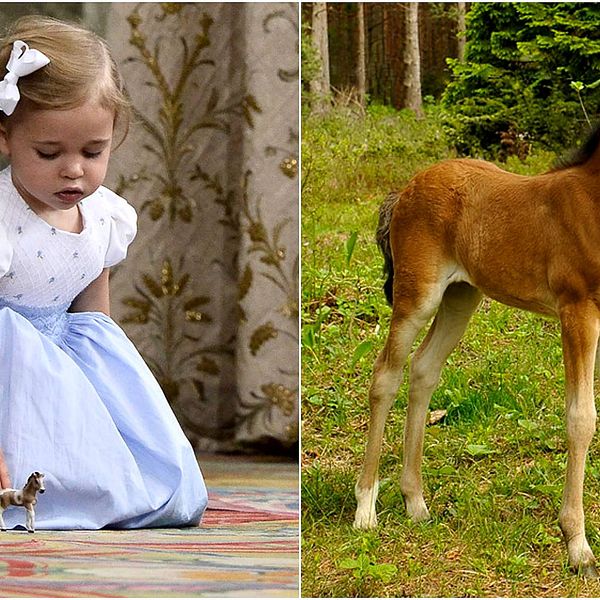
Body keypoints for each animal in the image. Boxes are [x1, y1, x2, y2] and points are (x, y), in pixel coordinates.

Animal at [356, 129, 600, 580]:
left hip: (461, 296)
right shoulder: (577, 309)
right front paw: (578, 547)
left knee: (424, 369)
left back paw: (415, 503)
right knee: (385, 375)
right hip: (417, 297)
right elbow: (581, 418)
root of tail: (406, 188)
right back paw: (365, 510)